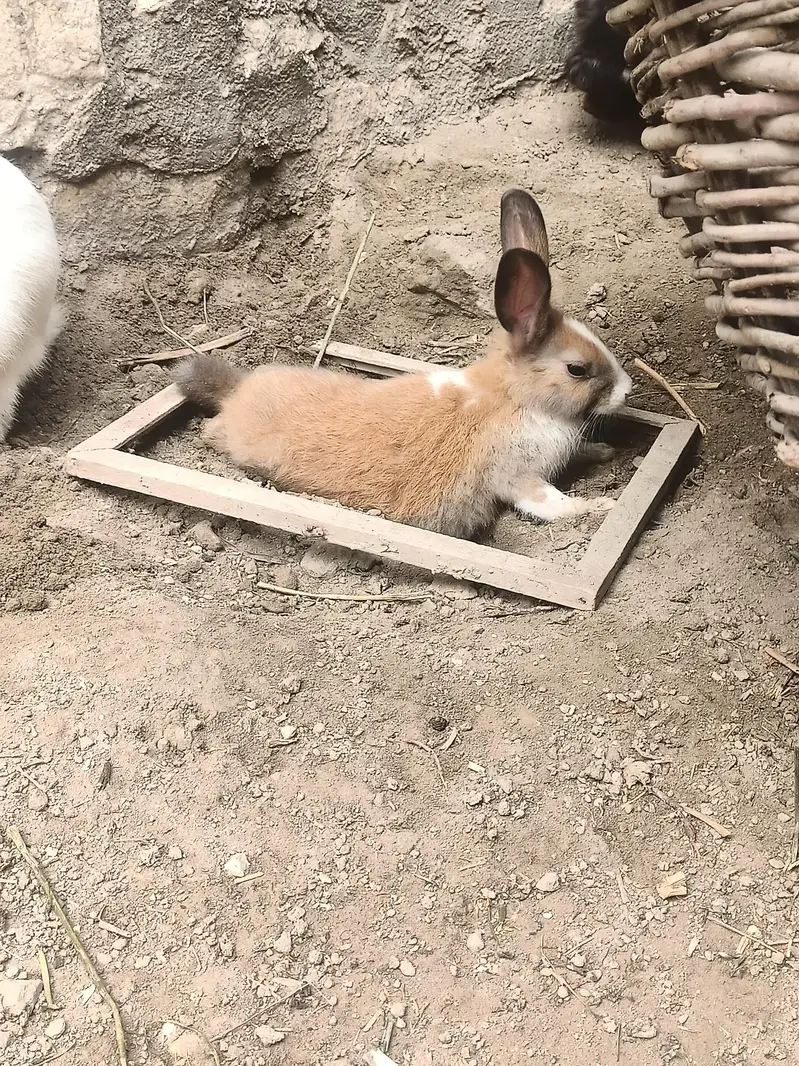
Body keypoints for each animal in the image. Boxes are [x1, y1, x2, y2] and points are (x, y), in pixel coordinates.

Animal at [174, 189, 632, 539]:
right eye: (578, 370)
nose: (628, 392)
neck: (516, 397)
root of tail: (236, 396)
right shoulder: (519, 475)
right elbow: (550, 504)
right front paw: (598, 506)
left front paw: (603, 451)